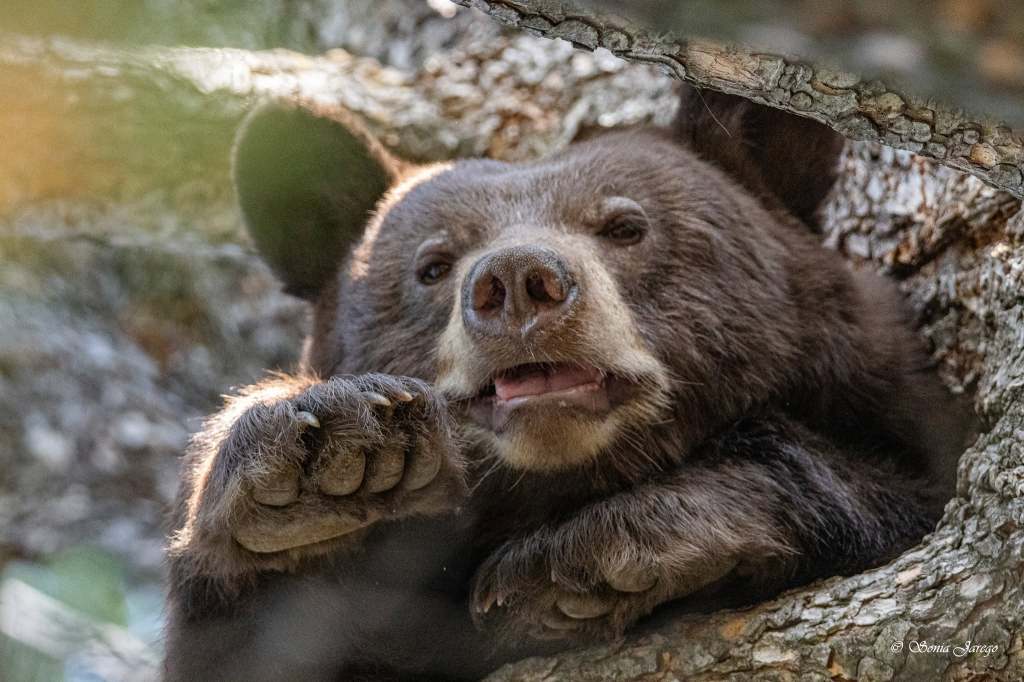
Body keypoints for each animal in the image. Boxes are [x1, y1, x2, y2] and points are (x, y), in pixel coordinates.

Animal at [162, 85, 971, 681]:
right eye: (432, 265)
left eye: (625, 227)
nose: (520, 281)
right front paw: (322, 460)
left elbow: (899, 497)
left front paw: (579, 562)